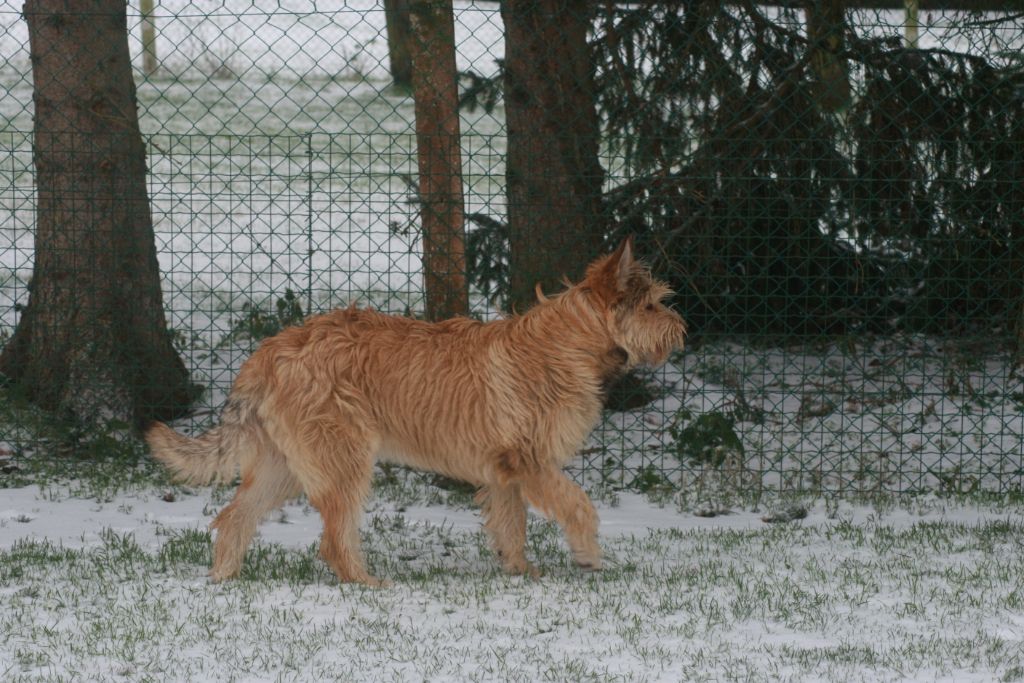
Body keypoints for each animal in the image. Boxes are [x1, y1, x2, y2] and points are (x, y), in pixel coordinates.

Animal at [146, 237, 688, 585]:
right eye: (651, 307)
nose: (682, 329)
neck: (569, 342)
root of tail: (272, 349)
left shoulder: (505, 471)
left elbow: (512, 525)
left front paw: (519, 571)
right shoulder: (531, 461)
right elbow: (579, 505)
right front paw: (589, 555)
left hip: (286, 466)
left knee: (235, 516)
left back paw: (223, 579)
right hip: (341, 460)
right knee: (333, 539)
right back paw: (366, 582)